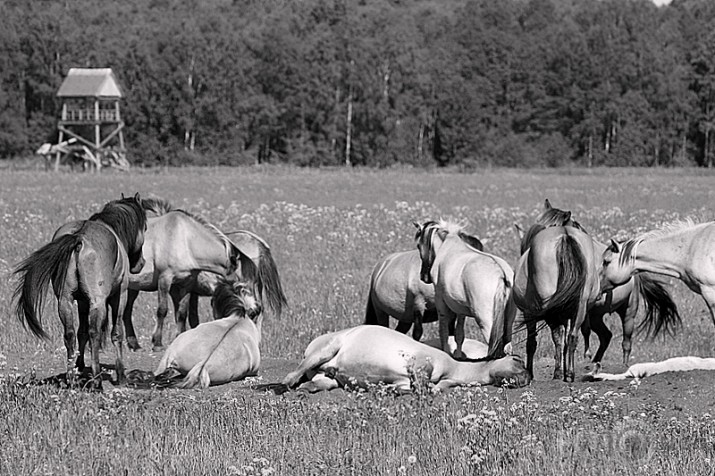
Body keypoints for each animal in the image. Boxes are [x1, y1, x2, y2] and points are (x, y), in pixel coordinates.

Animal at [14, 194, 147, 390]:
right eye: (145, 226)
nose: (141, 263)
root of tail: (79, 238)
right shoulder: (119, 296)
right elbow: (116, 333)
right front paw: (121, 375)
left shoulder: (82, 302)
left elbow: (81, 333)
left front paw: (80, 365)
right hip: (97, 302)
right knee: (94, 334)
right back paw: (97, 380)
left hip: (65, 301)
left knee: (69, 334)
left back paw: (71, 379)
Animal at [278, 326, 532, 392]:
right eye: (518, 360)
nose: (527, 379)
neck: (454, 366)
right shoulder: (420, 364)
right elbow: (423, 389)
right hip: (326, 349)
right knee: (291, 376)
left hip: (328, 377)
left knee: (313, 383)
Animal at [414, 219, 516, 360]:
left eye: (419, 246)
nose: (423, 277)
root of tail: (502, 275)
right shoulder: (460, 309)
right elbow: (459, 335)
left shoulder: (441, 303)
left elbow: (444, 334)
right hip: (508, 322)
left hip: (487, 323)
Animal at [516, 224, 604, 384]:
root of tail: (565, 234)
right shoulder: (566, 316)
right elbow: (565, 341)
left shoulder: (528, 313)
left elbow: (531, 343)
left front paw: (530, 373)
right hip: (580, 307)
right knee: (572, 338)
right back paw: (569, 374)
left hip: (550, 311)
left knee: (557, 338)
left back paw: (558, 373)